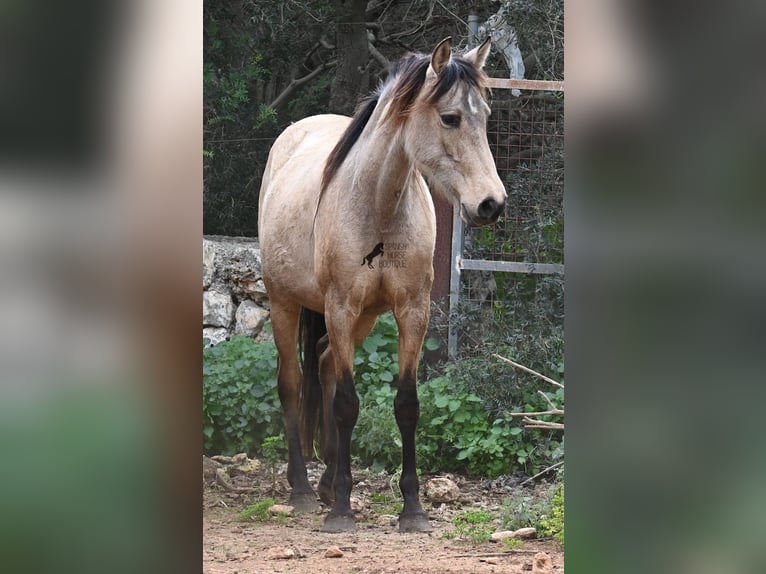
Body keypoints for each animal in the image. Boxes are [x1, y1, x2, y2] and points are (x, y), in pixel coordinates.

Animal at [257, 37, 506, 533]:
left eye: (486, 115)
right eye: (450, 117)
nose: (491, 204)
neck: (378, 205)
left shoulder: (412, 310)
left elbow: (407, 404)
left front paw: (412, 508)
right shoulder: (339, 307)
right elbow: (347, 404)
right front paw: (341, 511)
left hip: (365, 319)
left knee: (325, 364)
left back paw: (326, 482)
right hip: (284, 303)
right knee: (292, 382)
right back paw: (302, 489)